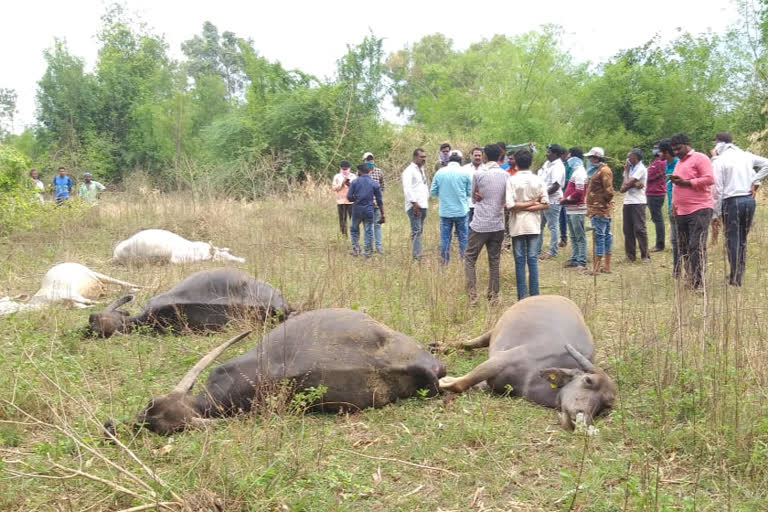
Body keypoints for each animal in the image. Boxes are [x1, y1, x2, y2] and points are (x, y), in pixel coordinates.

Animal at [0, 264, 141, 316]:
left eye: (2, 303)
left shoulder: (71, 294)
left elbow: (89, 302)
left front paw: (109, 303)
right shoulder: (74, 304)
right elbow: (85, 306)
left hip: (95, 273)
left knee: (122, 282)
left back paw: (138, 288)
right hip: (100, 285)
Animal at [440, 294, 616, 430]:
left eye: (606, 406)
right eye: (588, 380)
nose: (579, 420)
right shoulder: (499, 360)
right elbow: (459, 383)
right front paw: (443, 381)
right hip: (494, 329)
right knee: (469, 343)